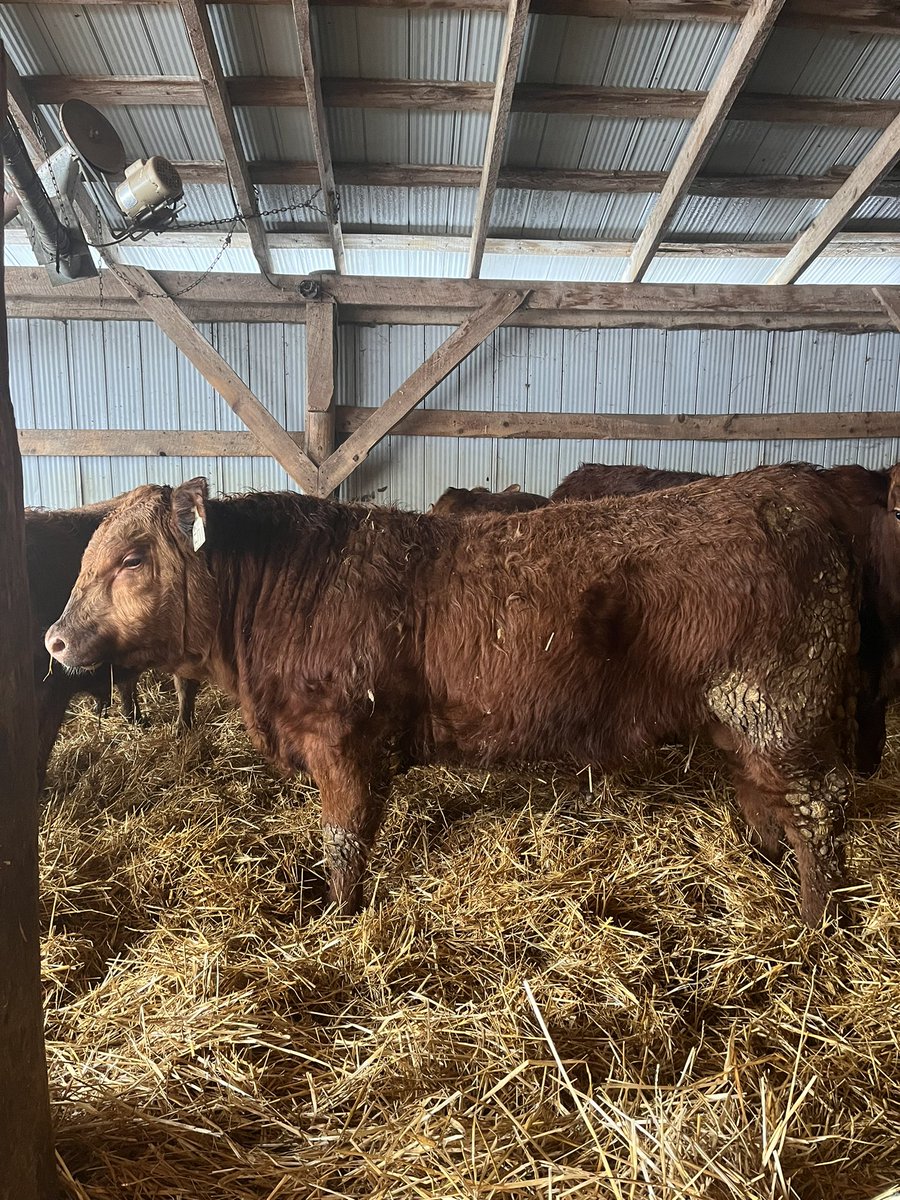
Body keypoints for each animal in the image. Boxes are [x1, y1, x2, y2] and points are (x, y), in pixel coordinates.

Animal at [44, 467, 867, 927]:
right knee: (767, 801)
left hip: (780, 709)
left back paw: (816, 923)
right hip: (743, 723)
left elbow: (344, 844)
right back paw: (770, 868)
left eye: (131, 558)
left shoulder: (345, 745)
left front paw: (336, 917)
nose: (53, 639)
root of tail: (790, 500)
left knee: (821, 808)